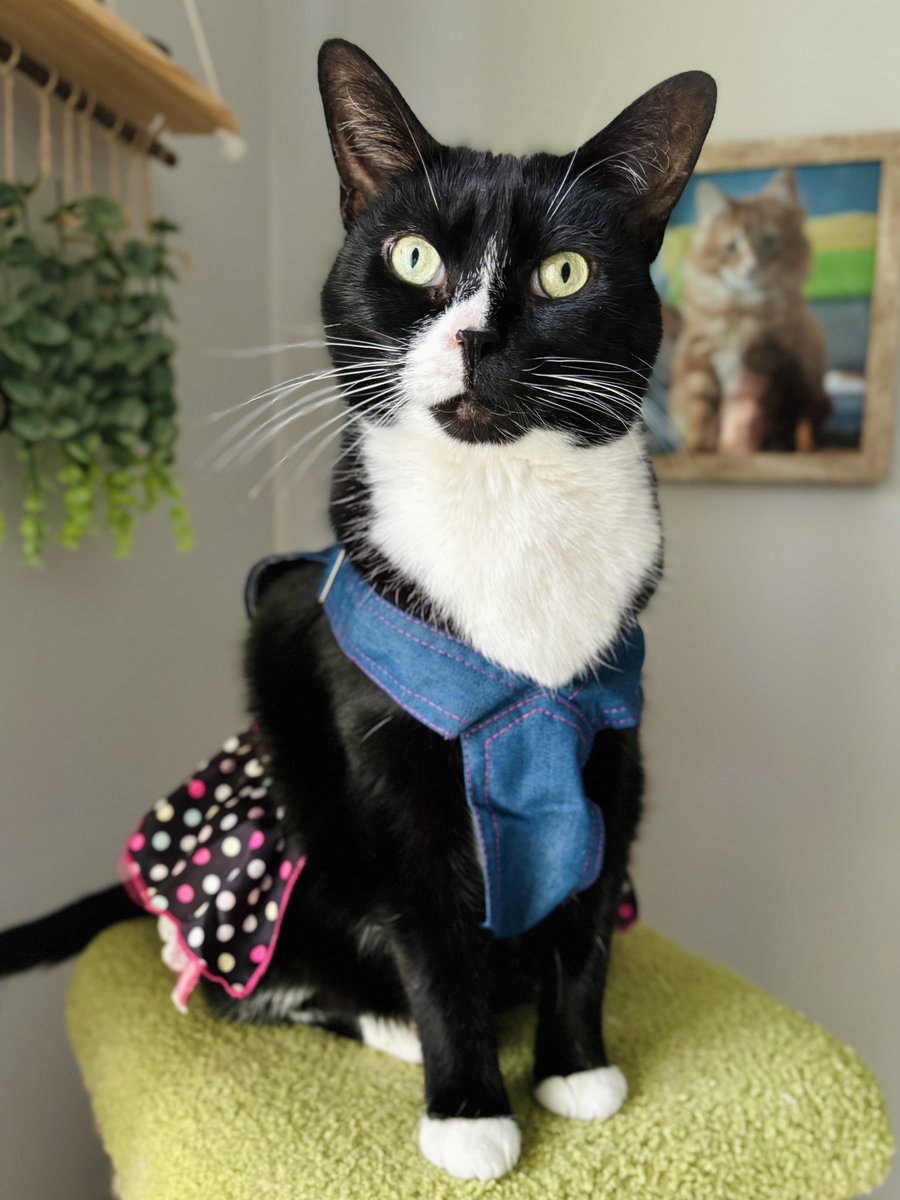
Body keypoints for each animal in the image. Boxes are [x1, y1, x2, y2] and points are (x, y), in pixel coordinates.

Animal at [1, 44, 720, 1180]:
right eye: (415, 257)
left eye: (565, 273)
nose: (476, 337)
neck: (503, 503)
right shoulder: (385, 765)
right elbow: (432, 944)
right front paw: (469, 1112)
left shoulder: (611, 737)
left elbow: (593, 917)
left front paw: (575, 1069)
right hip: (286, 827)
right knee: (253, 979)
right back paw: (383, 1022)